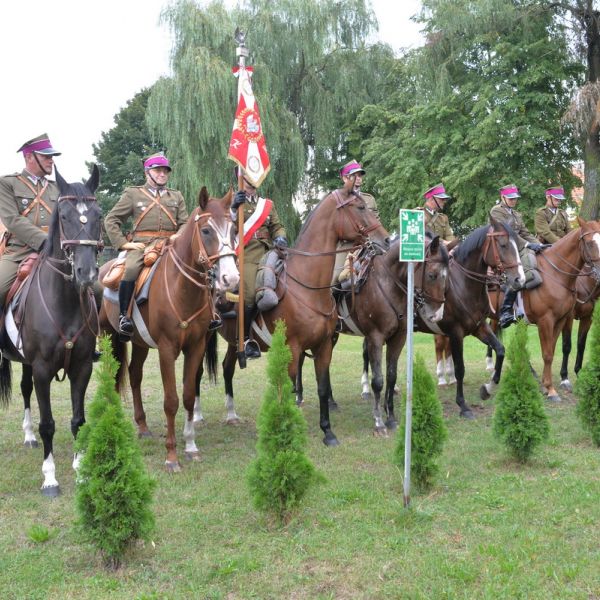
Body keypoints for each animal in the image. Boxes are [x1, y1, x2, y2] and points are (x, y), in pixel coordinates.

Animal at [0, 166, 103, 496]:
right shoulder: (44, 369)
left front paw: (80, 470)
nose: (86, 273)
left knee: (24, 388)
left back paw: (28, 435)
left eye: (97, 214)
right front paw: (50, 478)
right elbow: (48, 424)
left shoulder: (81, 367)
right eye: (65, 216)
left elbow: (78, 419)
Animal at [100, 187, 239, 472]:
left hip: (139, 343)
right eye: (206, 230)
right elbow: (171, 401)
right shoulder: (166, 350)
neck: (182, 289)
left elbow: (187, 395)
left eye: (233, 229)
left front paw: (191, 446)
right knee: (113, 375)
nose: (230, 279)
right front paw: (172, 456)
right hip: (108, 336)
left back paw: (142, 426)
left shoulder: (195, 347)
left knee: (134, 375)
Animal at [197, 187, 389, 446]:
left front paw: (328, 432)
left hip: (233, 342)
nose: (386, 239)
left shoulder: (323, 346)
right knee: (196, 376)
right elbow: (287, 390)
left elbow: (322, 388)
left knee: (227, 368)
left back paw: (231, 414)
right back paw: (197, 416)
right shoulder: (293, 348)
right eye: (360, 208)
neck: (308, 287)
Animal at [328, 232, 449, 436]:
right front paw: (378, 421)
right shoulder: (375, 338)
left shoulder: (398, 338)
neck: (387, 284)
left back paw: (330, 400)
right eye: (432, 275)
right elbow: (378, 380)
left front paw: (391, 418)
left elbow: (391, 377)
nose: (438, 315)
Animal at [486, 218, 600, 402]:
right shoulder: (548, 321)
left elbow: (559, 349)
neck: (556, 275)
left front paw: (551, 384)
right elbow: (553, 351)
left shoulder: (568, 319)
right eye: (589, 243)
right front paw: (554, 387)